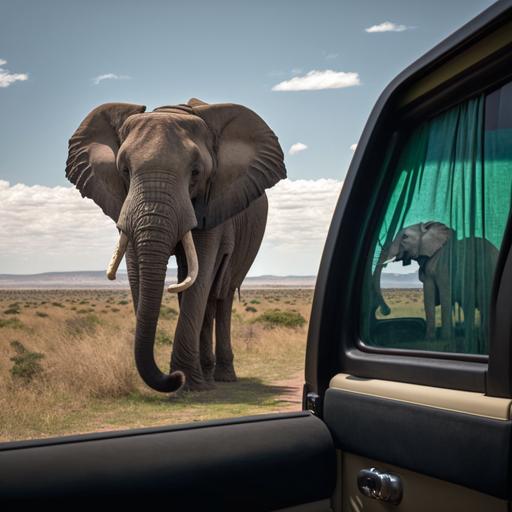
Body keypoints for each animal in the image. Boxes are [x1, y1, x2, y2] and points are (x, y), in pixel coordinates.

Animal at [64, 99, 286, 392]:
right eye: (125, 171)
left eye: (196, 173)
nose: (174, 378)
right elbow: (138, 272)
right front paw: (186, 381)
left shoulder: (214, 202)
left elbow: (200, 276)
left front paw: (189, 384)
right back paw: (208, 372)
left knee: (221, 294)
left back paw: (222, 377)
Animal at [372, 220, 500, 348]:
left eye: (405, 237)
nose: (386, 311)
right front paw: (435, 338)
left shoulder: (443, 266)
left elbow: (439, 295)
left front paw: (440, 339)